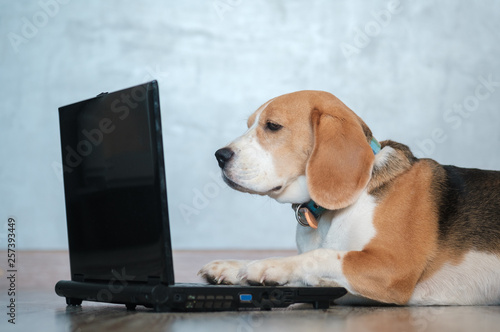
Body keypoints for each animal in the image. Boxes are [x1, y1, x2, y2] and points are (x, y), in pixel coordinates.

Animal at [198, 91, 500, 306]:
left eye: (273, 126)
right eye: (250, 125)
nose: (219, 156)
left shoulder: (392, 269)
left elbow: (321, 255)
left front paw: (270, 265)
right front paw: (232, 266)